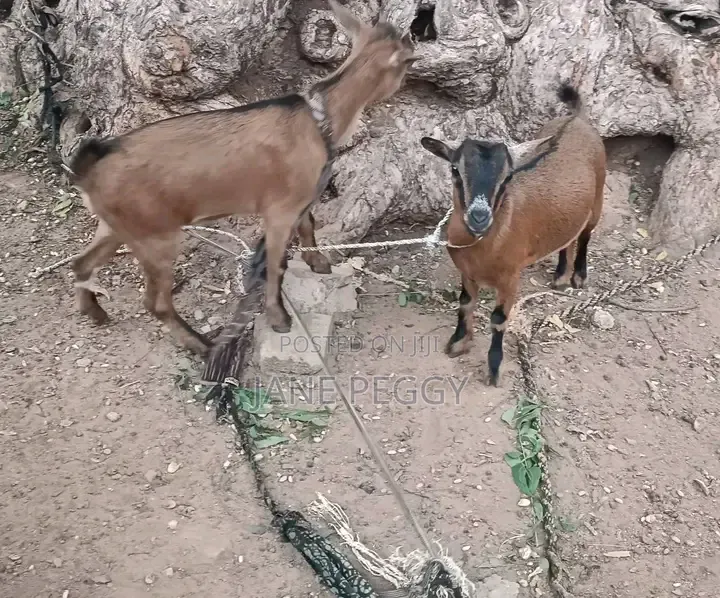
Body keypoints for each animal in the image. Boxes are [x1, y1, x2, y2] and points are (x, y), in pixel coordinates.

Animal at [67, 0, 416, 356]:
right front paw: (279, 317)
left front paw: (317, 262)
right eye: (405, 64)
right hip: (155, 235)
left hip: (117, 225)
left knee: (81, 263)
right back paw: (200, 343)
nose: (403, 85)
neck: (320, 120)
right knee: (155, 302)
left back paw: (94, 311)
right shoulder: (279, 210)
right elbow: (276, 264)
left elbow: (309, 224)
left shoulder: (299, 200)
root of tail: (89, 170)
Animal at [420, 83, 606, 386]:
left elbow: (498, 319)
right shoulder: (467, 273)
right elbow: (465, 303)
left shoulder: (510, 278)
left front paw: (493, 369)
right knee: (567, 238)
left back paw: (578, 275)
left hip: (598, 199)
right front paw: (458, 343)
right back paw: (560, 277)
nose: (479, 217)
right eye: (455, 169)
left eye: (507, 177)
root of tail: (575, 119)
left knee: (585, 235)